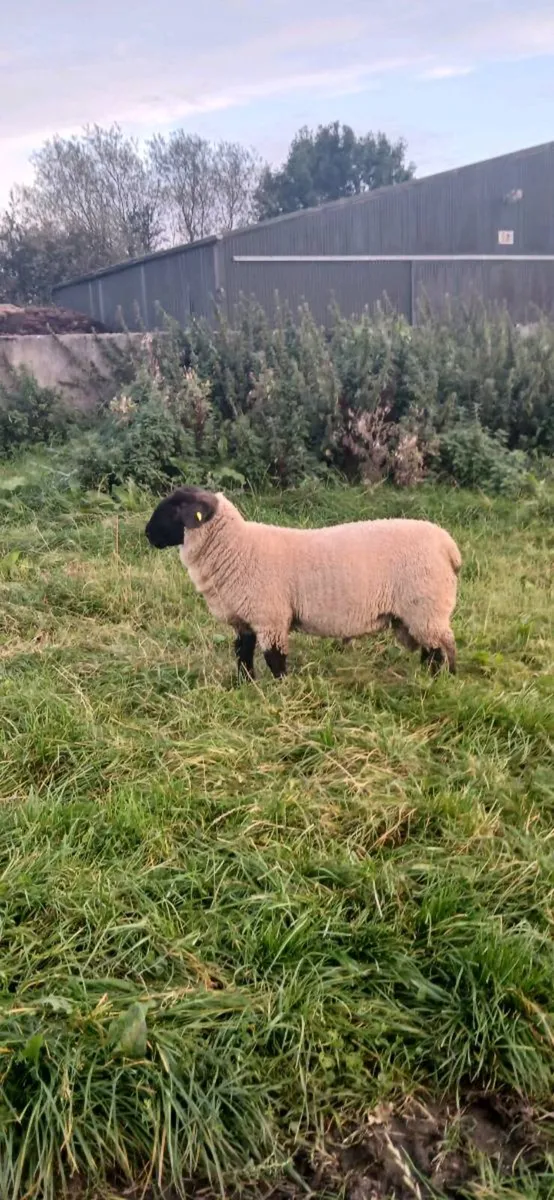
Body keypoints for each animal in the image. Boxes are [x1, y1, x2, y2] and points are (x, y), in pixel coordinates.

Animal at [145, 485, 461, 680]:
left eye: (175, 508)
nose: (147, 534)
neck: (237, 548)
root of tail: (447, 545)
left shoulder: (271, 617)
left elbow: (275, 659)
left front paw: (279, 691)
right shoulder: (246, 619)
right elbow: (242, 654)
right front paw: (246, 685)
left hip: (426, 606)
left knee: (441, 648)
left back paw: (435, 681)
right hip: (421, 613)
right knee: (432, 647)